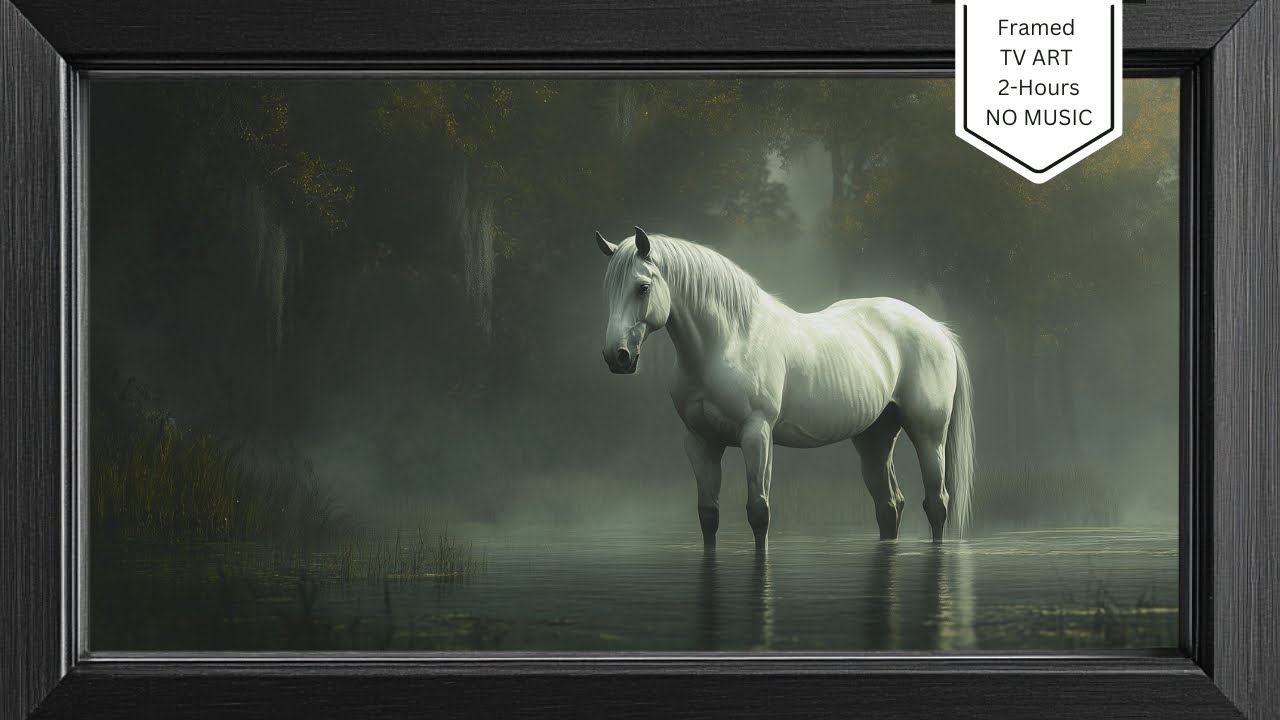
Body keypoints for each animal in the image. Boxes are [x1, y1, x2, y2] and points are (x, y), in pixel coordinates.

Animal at [594, 227, 974, 547]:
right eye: (608, 288)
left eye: (642, 287)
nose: (617, 357)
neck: (729, 341)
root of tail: (936, 328)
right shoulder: (701, 443)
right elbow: (708, 516)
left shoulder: (757, 435)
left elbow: (759, 513)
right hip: (875, 437)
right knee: (889, 505)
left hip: (929, 435)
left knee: (936, 503)